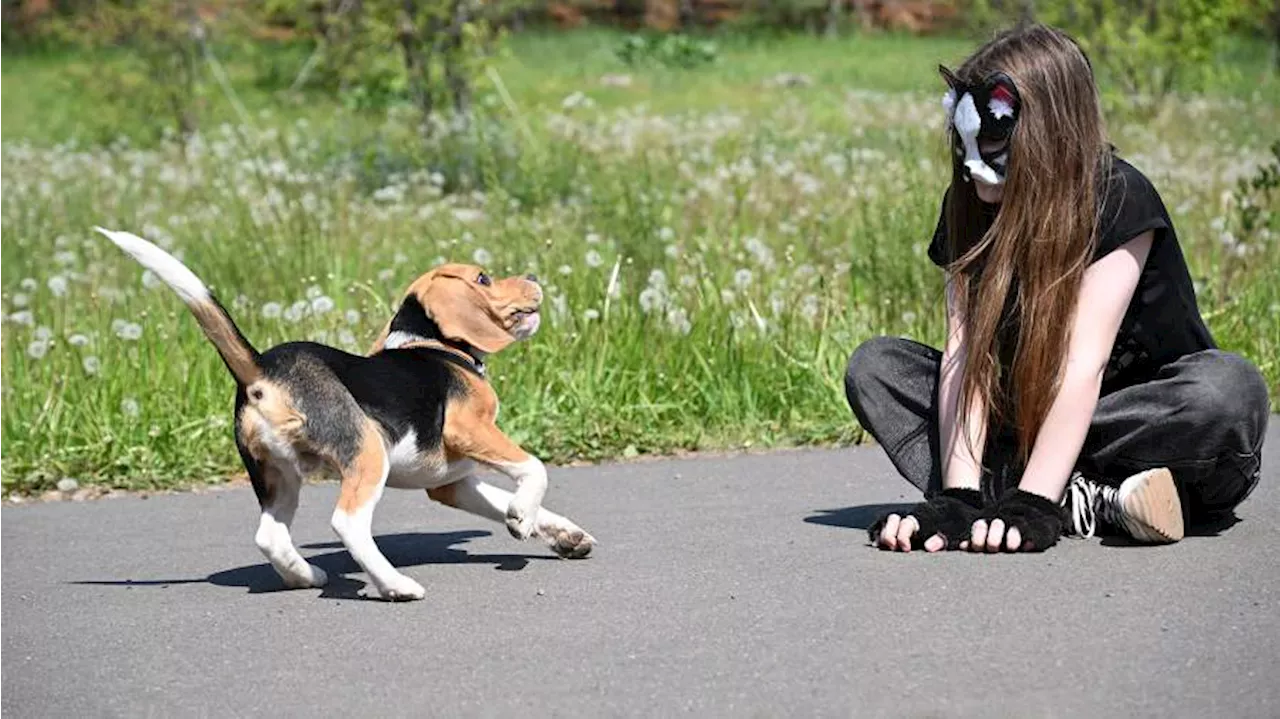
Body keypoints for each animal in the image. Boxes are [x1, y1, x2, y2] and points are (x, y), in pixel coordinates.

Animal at [94, 229, 593, 598]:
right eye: (485, 279)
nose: (533, 275)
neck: (433, 344)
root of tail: (261, 368)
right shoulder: (470, 429)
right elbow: (533, 469)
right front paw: (522, 516)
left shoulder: (450, 483)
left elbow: (505, 499)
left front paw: (563, 534)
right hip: (368, 452)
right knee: (348, 523)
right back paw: (395, 585)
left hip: (277, 475)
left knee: (269, 535)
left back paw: (305, 576)